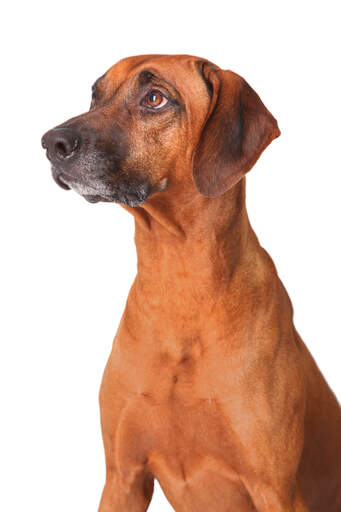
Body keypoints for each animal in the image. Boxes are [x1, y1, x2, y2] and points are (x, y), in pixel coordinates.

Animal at [41, 54, 340, 510]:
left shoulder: (275, 489)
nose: (50, 142)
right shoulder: (123, 478)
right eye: (95, 95)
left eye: (155, 99)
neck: (179, 278)